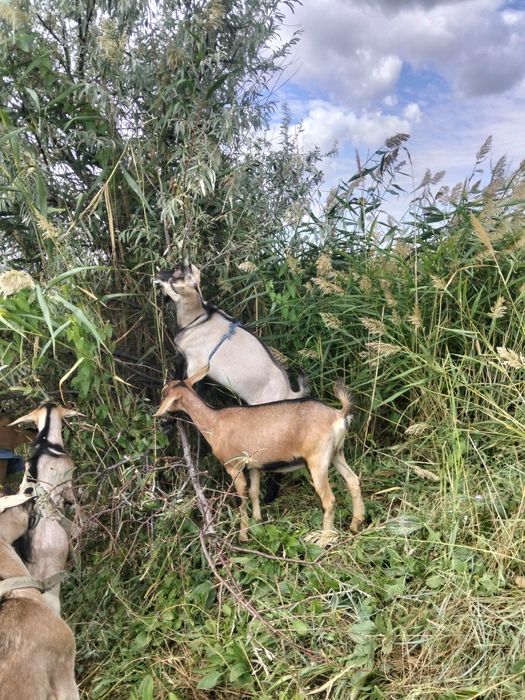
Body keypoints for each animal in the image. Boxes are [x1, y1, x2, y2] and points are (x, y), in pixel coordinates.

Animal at [154, 368, 365, 545]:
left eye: (164, 394)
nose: (160, 417)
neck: (214, 422)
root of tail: (338, 415)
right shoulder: (255, 465)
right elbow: (254, 492)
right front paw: (258, 520)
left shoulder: (234, 466)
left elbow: (242, 498)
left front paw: (243, 536)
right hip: (337, 453)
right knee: (353, 480)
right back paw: (356, 524)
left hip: (317, 459)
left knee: (329, 500)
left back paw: (323, 540)